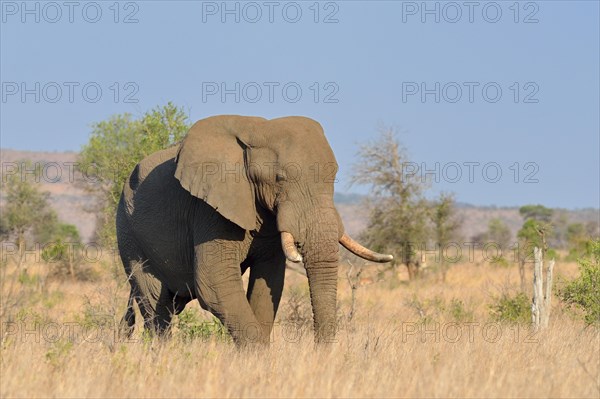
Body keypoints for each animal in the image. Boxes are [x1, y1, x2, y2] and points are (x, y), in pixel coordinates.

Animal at [116, 114, 394, 346]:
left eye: (334, 177)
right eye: (280, 179)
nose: (319, 354)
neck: (258, 129)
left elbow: (268, 283)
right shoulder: (208, 208)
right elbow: (214, 283)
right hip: (129, 235)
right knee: (157, 308)